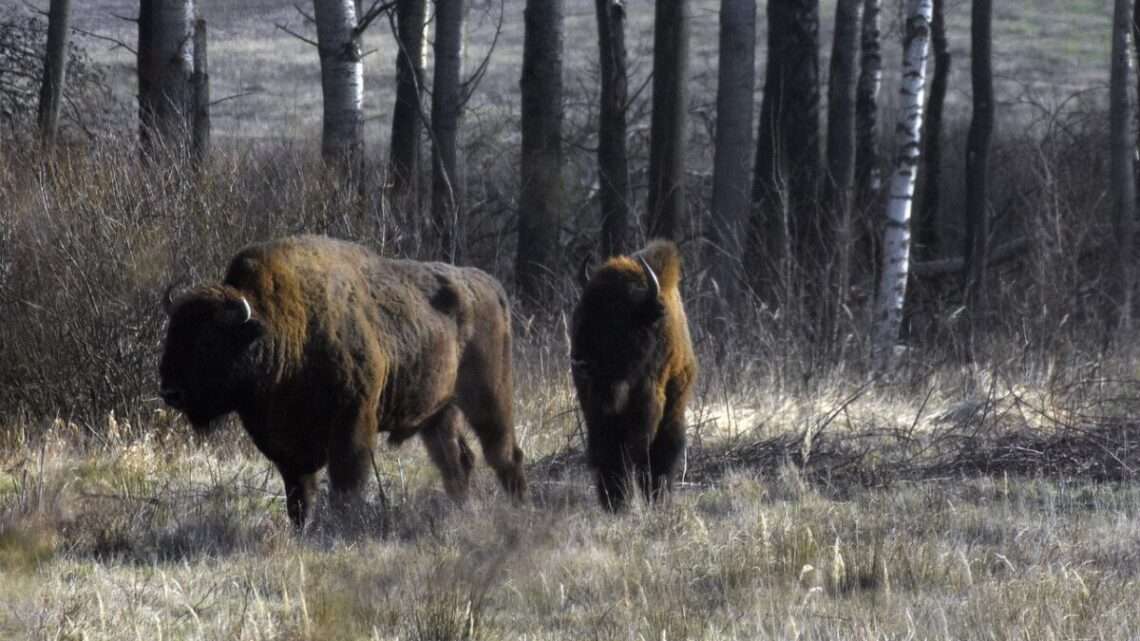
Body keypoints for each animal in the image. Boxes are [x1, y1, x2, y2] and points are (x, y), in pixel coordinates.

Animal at [159, 233, 524, 524]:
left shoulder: (352, 422)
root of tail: (491, 286)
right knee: (457, 461)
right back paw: (463, 510)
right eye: (172, 332)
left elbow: (345, 483)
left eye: (208, 341)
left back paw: (518, 508)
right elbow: (299, 495)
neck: (280, 326)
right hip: (438, 413)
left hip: (489, 398)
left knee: (504, 454)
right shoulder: (286, 448)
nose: (169, 392)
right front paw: (303, 529)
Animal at [567, 239, 693, 508]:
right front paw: (615, 501)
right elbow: (611, 453)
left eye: (615, 317)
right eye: (580, 310)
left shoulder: (655, 406)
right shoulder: (596, 409)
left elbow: (650, 453)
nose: (579, 361)